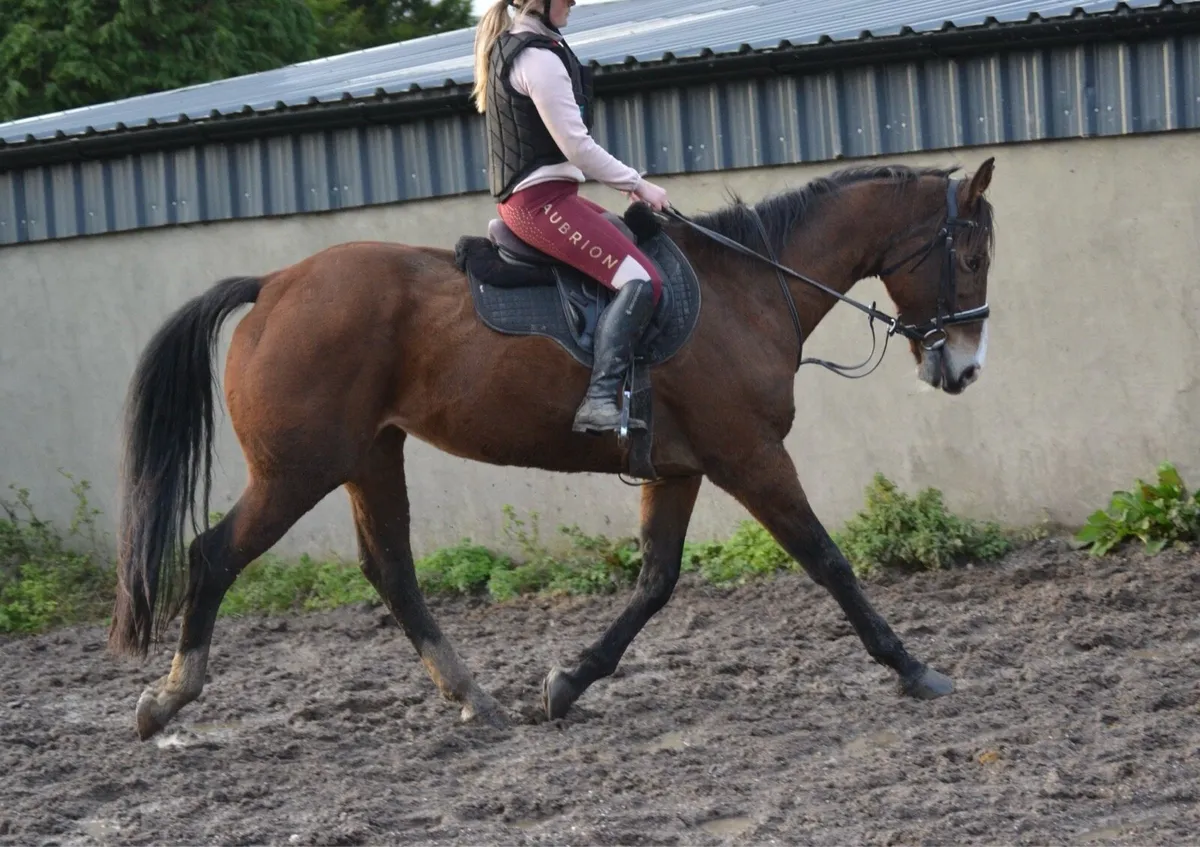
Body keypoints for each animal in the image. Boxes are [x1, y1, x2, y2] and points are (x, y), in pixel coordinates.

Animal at [106, 156, 997, 740]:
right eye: (972, 254)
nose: (963, 368)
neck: (748, 288)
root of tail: (276, 284)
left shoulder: (679, 468)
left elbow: (655, 581)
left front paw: (566, 683)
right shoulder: (750, 457)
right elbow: (829, 561)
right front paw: (913, 667)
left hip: (369, 457)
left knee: (391, 569)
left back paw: (477, 698)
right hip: (300, 468)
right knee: (214, 553)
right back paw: (167, 699)